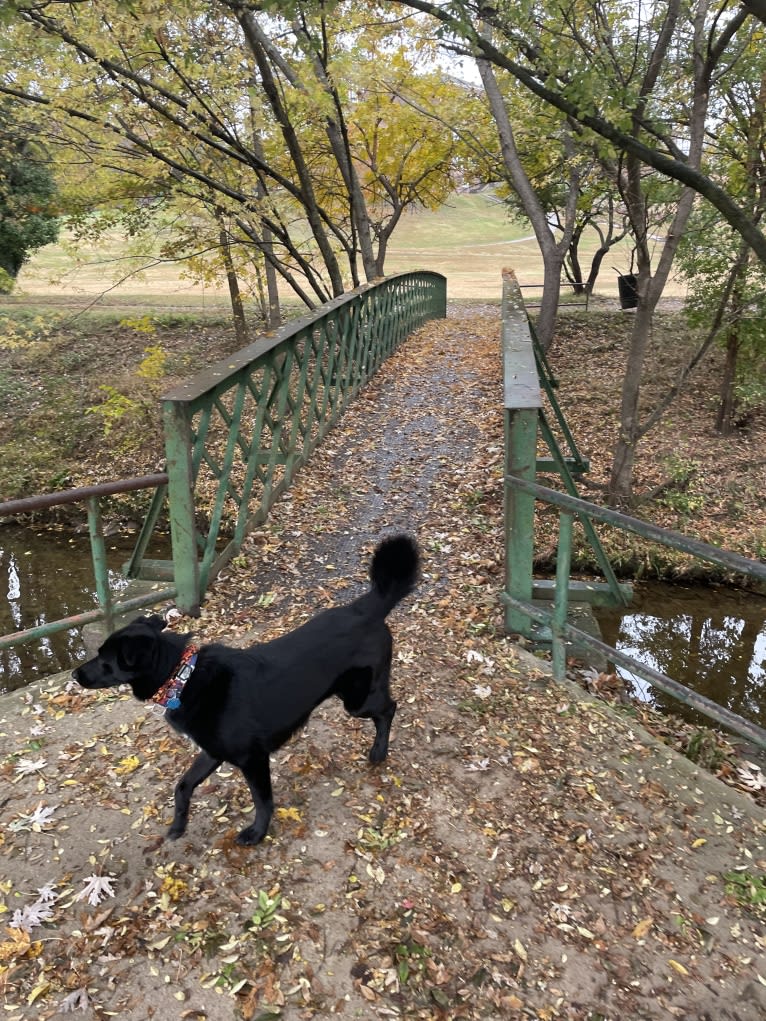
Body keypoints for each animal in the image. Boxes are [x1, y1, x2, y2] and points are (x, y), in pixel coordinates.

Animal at [72, 535, 420, 845]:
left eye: (105, 660)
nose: (75, 674)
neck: (183, 675)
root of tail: (368, 607)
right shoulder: (212, 751)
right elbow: (182, 786)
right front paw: (178, 826)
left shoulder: (253, 759)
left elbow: (262, 801)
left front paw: (257, 833)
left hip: (357, 700)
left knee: (389, 709)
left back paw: (379, 752)